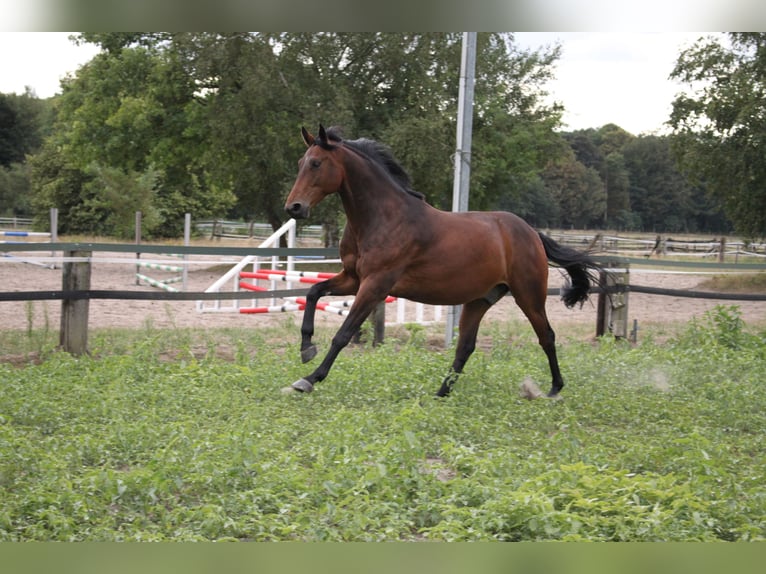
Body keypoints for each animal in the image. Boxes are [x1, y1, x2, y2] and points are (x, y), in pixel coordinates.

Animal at [283, 125, 602, 398]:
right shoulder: (353, 278)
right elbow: (313, 292)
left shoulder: (375, 285)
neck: (382, 217)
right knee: (466, 347)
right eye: (299, 162)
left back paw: (554, 389)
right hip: (479, 300)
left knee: (546, 335)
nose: (293, 207)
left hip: (528, 295)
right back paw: (440, 393)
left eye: (316, 164)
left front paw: (309, 379)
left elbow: (343, 333)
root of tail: (531, 233)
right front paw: (306, 348)